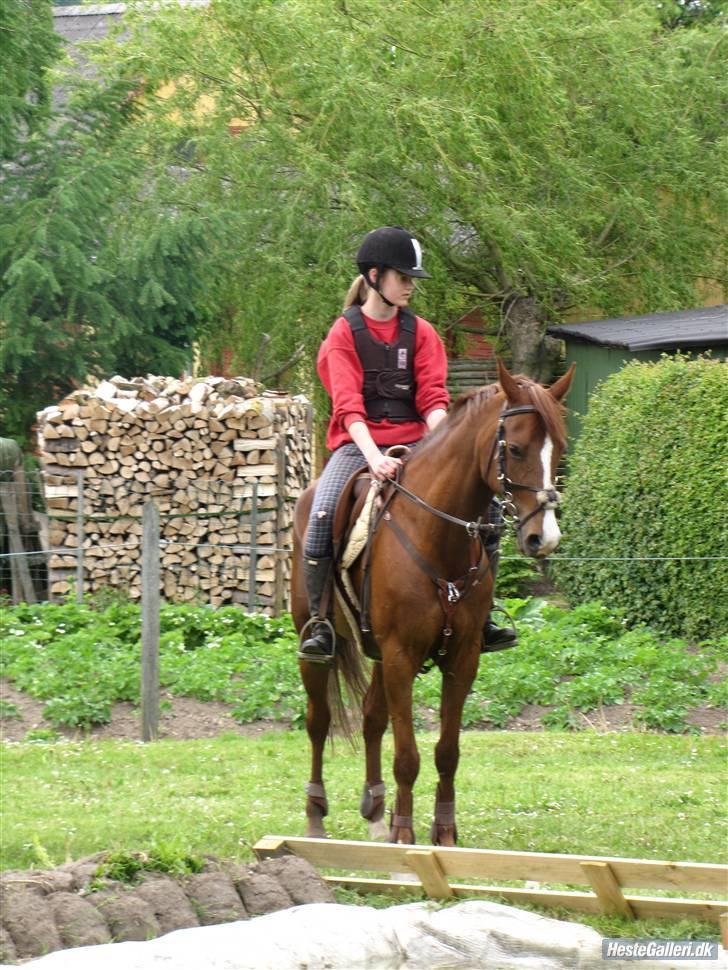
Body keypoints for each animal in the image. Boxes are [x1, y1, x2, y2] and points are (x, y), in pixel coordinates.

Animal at [290, 360, 576, 844]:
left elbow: (447, 752)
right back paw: (314, 816)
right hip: (318, 649)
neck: (437, 536)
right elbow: (408, 757)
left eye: (558, 451)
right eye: (516, 448)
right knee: (319, 721)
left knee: (371, 718)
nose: (545, 538)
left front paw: (442, 832)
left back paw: (375, 811)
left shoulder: (461, 658)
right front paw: (405, 835)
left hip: (377, 654)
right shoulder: (401, 656)